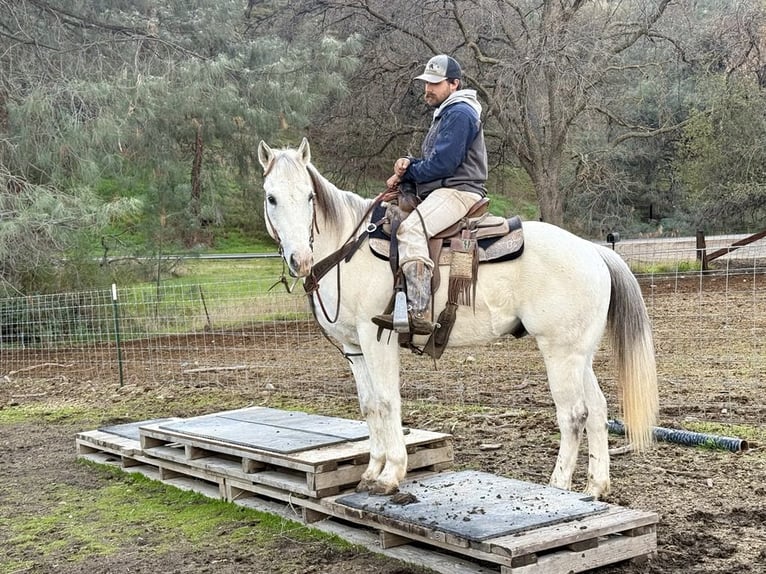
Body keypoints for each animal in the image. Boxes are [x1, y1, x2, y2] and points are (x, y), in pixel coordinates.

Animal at [260, 138, 660, 500]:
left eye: (309, 197)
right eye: (271, 198)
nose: (300, 259)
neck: (348, 250)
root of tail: (593, 250)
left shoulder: (377, 339)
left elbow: (388, 402)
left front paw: (391, 475)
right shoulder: (353, 348)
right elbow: (370, 406)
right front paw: (371, 472)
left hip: (559, 352)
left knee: (574, 414)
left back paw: (558, 488)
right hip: (579, 354)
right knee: (597, 410)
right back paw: (595, 487)